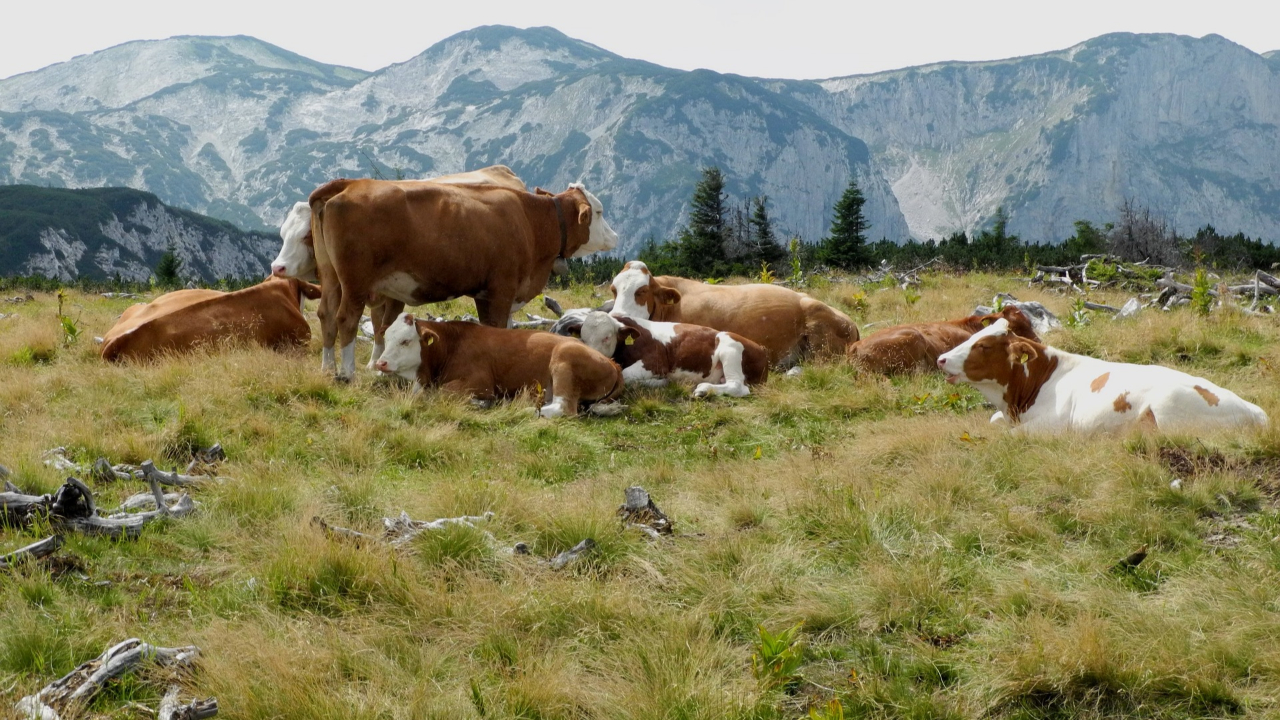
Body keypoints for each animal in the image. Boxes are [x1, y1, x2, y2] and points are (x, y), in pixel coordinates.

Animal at [311, 179, 618, 379]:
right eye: (599, 212)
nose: (616, 236)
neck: (530, 222)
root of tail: (351, 183)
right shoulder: (501, 289)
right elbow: (498, 327)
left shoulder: (486, 293)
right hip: (355, 281)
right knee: (346, 318)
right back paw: (347, 373)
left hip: (330, 276)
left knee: (326, 314)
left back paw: (327, 368)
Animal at [374, 313, 624, 418]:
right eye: (387, 337)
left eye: (405, 341)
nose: (380, 363)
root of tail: (613, 363)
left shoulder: (481, 382)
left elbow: (442, 392)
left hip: (564, 359)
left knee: (564, 408)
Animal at [554, 310, 768, 397]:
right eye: (583, 338)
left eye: (606, 337)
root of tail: (761, 348)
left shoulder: (656, 362)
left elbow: (625, 374)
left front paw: (660, 382)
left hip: (730, 347)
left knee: (738, 387)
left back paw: (703, 389)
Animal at [936, 318, 1269, 433]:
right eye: (973, 335)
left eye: (983, 345)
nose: (941, 359)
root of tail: (1255, 410)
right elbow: (993, 422)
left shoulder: (1055, 426)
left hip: (1170, 409)